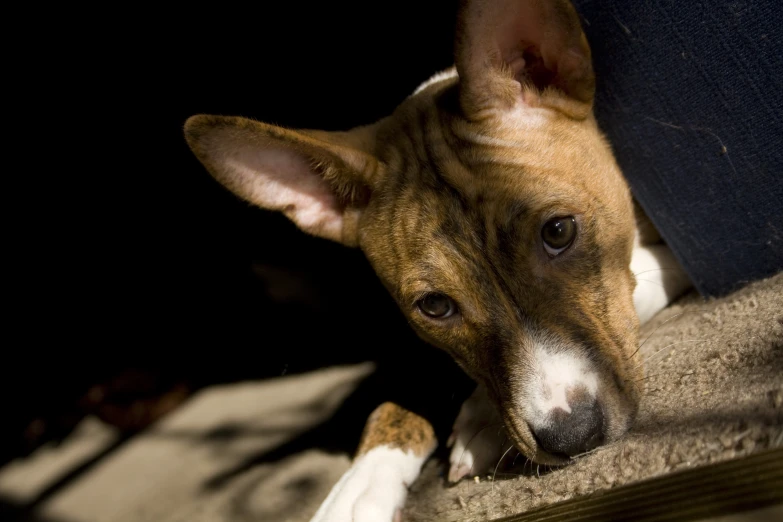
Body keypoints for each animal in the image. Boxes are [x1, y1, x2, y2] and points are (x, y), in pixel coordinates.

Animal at [185, 2, 692, 516]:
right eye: (435, 306)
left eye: (558, 231)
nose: (572, 436)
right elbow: (397, 397)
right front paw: (362, 482)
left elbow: (637, 286)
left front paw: (483, 416)